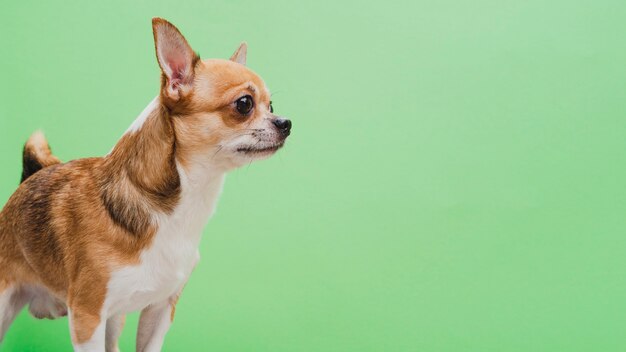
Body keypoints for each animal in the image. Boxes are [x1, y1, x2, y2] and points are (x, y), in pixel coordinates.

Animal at [0, 17, 290, 350]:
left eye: (271, 105)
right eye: (244, 104)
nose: (286, 123)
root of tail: (29, 177)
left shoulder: (160, 310)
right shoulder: (87, 316)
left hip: (115, 319)